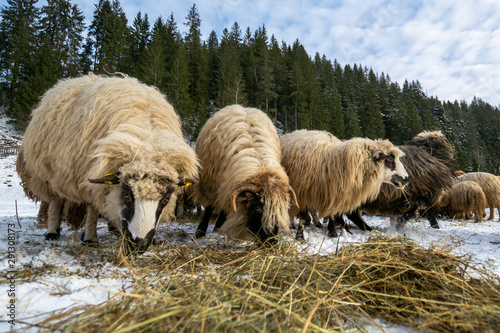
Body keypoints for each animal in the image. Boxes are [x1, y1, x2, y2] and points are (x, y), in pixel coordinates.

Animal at [17, 73, 197, 252]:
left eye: (166, 198)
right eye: (126, 195)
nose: (139, 244)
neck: (147, 144)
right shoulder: (91, 178)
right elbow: (92, 209)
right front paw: (90, 239)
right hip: (49, 171)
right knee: (56, 200)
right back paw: (53, 231)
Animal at [194, 105, 296, 243]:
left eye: (279, 209)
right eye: (257, 209)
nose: (271, 242)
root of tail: (242, 107)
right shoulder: (211, 182)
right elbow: (209, 208)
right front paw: (200, 231)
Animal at [280, 129, 408, 239]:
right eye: (389, 159)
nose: (406, 178)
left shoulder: (334, 193)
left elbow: (332, 213)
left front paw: (333, 232)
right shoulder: (301, 191)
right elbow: (302, 215)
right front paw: (300, 236)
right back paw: (293, 225)